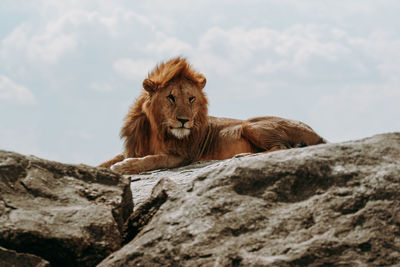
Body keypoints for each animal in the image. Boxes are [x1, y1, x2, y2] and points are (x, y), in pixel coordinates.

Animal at [99, 57, 324, 175]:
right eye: (171, 97)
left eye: (191, 99)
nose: (184, 121)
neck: (158, 129)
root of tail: (318, 134)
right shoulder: (133, 148)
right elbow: (107, 161)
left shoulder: (183, 156)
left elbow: (153, 160)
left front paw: (125, 166)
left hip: (250, 124)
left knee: (281, 148)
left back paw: (241, 156)